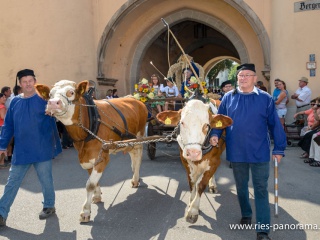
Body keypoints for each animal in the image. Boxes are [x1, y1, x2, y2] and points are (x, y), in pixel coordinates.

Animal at [35, 80, 148, 223]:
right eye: (50, 94)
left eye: (71, 92)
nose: (53, 103)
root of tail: (134, 98)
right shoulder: (88, 159)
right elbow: (94, 181)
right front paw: (97, 196)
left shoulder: (102, 158)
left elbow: (90, 184)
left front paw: (85, 212)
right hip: (129, 141)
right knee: (133, 156)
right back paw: (134, 176)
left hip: (139, 136)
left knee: (138, 157)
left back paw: (136, 179)